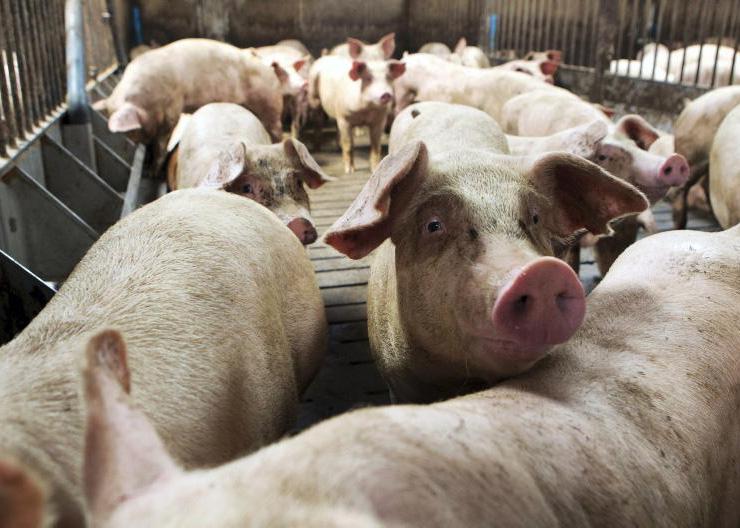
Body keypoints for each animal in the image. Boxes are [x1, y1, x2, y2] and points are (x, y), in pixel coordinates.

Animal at [93, 38, 285, 174]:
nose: (138, 144)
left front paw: (152, 172)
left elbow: (162, 143)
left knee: (277, 129)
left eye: (132, 130)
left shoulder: (173, 107)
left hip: (269, 103)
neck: (148, 98)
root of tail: (268, 67)